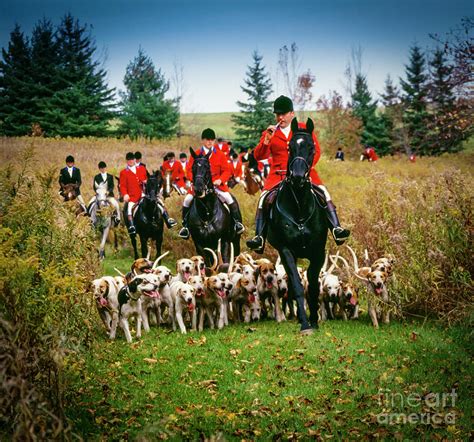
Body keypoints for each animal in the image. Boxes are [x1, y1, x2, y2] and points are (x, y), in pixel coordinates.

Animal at [264, 119, 328, 334]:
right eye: (290, 147)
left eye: (311, 147)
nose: (298, 176)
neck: (299, 204)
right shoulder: (286, 250)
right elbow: (298, 285)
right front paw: (306, 323)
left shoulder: (319, 251)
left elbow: (313, 284)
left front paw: (314, 319)